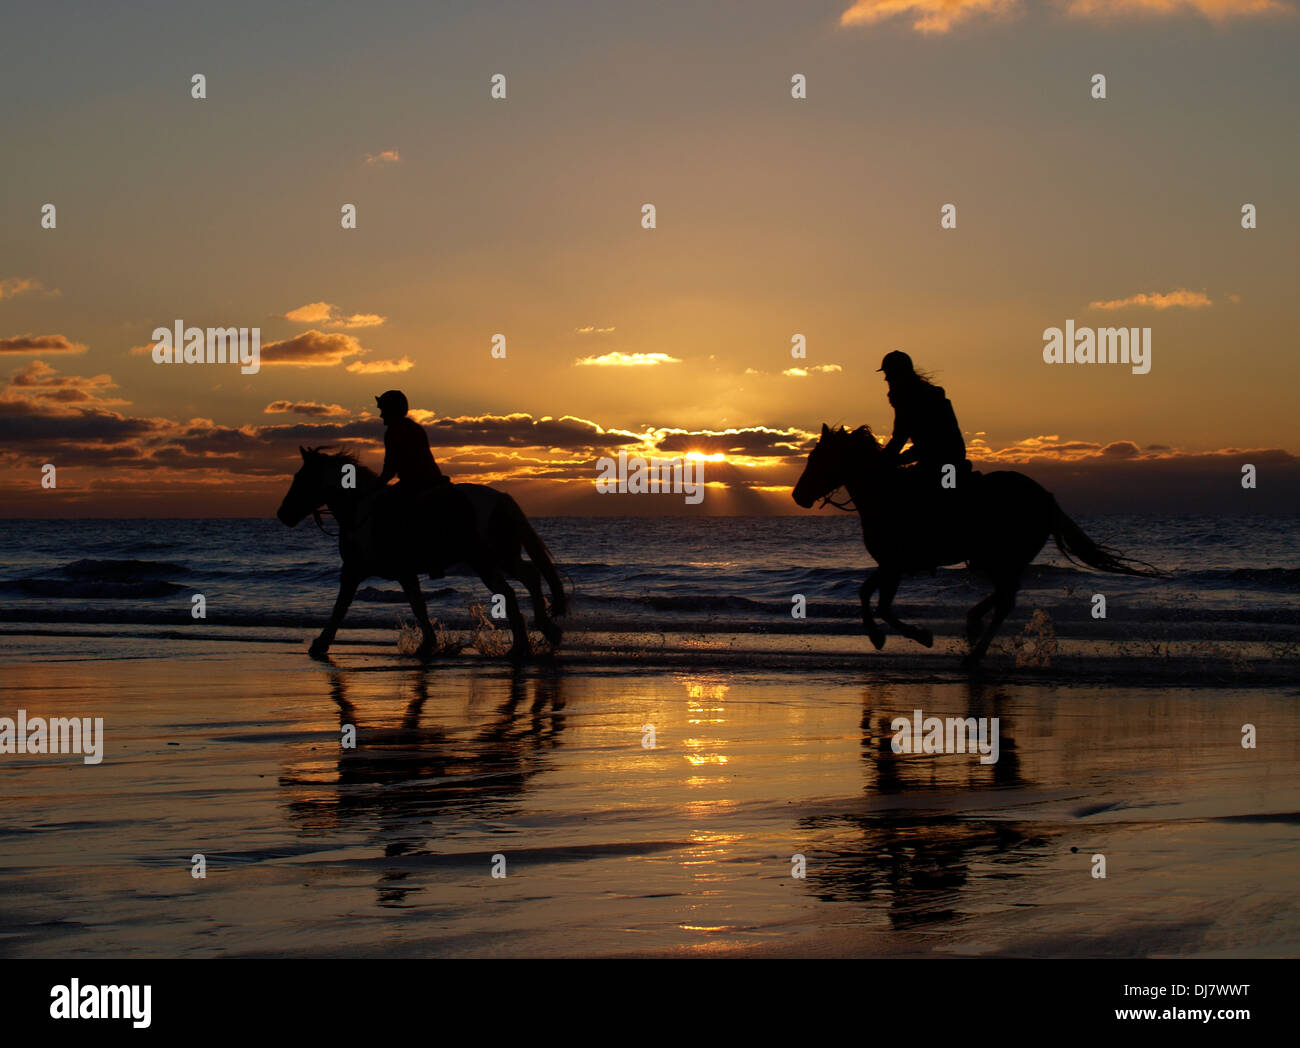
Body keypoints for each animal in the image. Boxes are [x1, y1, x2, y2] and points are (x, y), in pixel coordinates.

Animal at [276, 447, 566, 660]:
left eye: (300, 479)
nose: (282, 515)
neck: (360, 510)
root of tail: (502, 498)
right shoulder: (404, 573)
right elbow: (418, 606)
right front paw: (428, 645)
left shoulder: (353, 570)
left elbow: (340, 607)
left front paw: (320, 644)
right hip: (500, 559)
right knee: (529, 578)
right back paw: (539, 636)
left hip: (488, 561)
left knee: (514, 589)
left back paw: (525, 644)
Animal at [795, 423, 1164, 665]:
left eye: (818, 460)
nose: (798, 497)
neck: (885, 494)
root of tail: (1045, 497)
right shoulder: (889, 565)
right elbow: (864, 593)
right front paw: (877, 636)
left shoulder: (896, 565)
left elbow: (883, 605)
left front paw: (918, 636)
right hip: (999, 560)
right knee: (1004, 597)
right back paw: (973, 628)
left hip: (1004, 559)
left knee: (1005, 600)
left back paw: (975, 650)